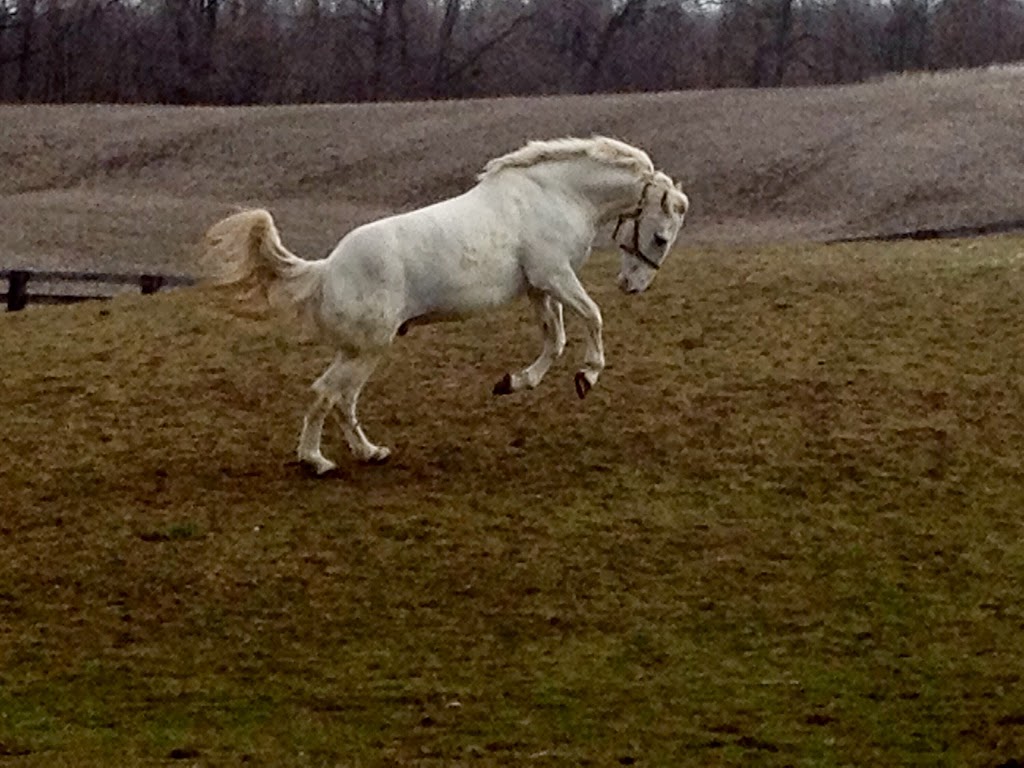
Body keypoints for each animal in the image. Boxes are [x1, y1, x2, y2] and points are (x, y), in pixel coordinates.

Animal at [201, 137, 688, 475]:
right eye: (660, 237)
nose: (632, 286)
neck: (558, 195)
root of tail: (325, 271)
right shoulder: (555, 276)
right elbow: (593, 318)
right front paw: (587, 376)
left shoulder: (540, 287)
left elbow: (555, 340)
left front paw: (514, 382)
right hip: (367, 350)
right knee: (325, 393)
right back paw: (316, 461)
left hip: (360, 352)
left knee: (343, 400)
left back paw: (370, 452)